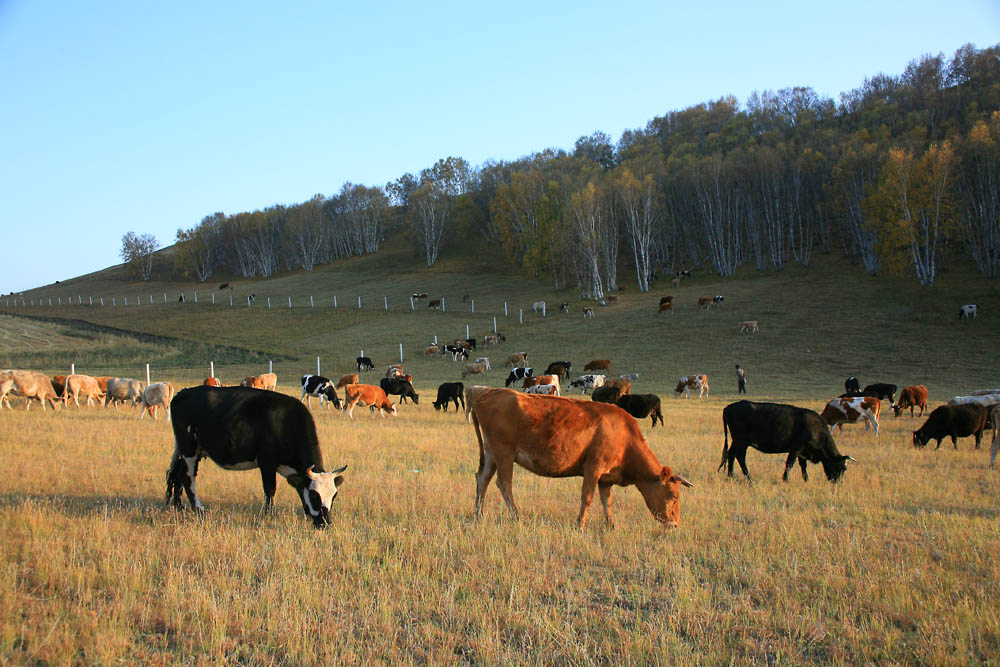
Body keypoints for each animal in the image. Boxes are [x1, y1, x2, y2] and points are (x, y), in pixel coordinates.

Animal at [167, 388, 348, 528]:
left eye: (334, 496)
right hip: (189, 449)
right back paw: (198, 508)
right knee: (187, 477)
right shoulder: (267, 462)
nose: (325, 523)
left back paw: (177, 505)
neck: (285, 421)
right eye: (314, 496)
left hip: (186, 450)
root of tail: (182, 393)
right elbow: (270, 489)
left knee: (176, 474)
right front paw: (270, 514)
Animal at [470, 388, 696, 528]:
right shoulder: (593, 467)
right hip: (504, 453)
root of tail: (485, 394)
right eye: (673, 496)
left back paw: (478, 515)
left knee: (483, 479)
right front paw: (580, 524)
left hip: (491, 454)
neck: (623, 436)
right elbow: (587, 497)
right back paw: (516, 516)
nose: (675, 524)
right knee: (504, 484)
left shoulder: (606, 478)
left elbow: (607, 501)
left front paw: (611, 524)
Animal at [720, 400, 852, 482]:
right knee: (740, 457)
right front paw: (785, 479)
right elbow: (790, 463)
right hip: (741, 441)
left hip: (736, 441)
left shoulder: (802, 451)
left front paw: (806, 480)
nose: (838, 482)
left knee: (731, 454)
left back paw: (731, 475)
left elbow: (803, 466)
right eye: (842, 468)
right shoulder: (796, 447)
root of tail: (727, 408)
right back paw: (749, 478)